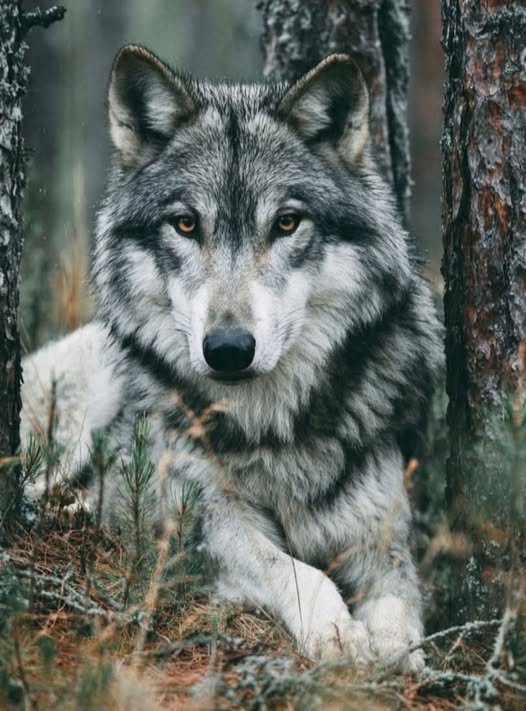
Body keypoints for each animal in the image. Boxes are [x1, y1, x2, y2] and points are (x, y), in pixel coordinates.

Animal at [21, 45, 442, 672]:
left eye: (287, 223)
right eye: (186, 223)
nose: (227, 349)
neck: (271, 427)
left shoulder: (381, 533)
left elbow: (400, 596)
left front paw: (396, 652)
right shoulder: (209, 521)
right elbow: (298, 570)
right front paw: (339, 634)